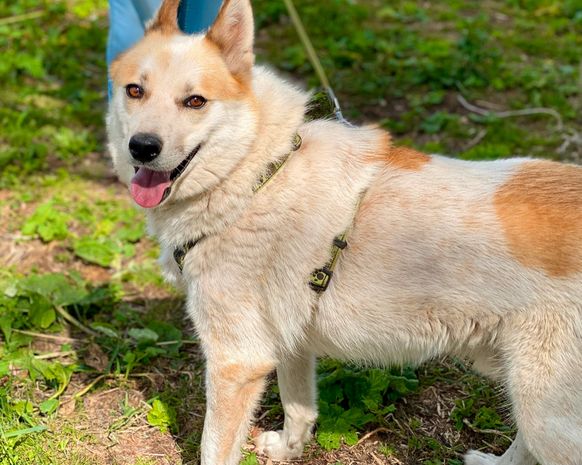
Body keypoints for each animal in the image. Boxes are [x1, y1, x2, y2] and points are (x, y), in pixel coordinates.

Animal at [107, 0, 582, 464]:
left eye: (195, 101)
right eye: (135, 91)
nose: (142, 148)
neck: (257, 173)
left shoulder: (235, 362)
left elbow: (213, 447)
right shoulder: (289, 343)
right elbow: (299, 406)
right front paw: (288, 449)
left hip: (547, 414)